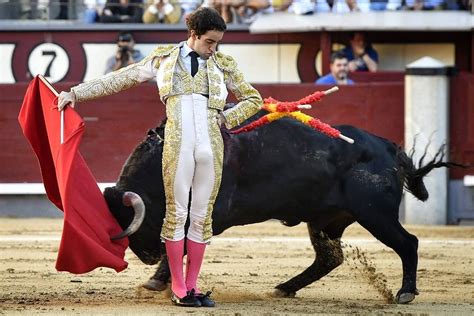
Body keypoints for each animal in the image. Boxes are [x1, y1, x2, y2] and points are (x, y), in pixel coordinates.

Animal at [103, 111, 456, 304]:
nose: (145, 257)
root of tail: (387, 147)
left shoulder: (212, 212)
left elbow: (183, 242)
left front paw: (157, 281)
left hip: (375, 214)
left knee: (408, 243)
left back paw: (405, 293)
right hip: (325, 221)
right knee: (329, 258)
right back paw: (283, 289)